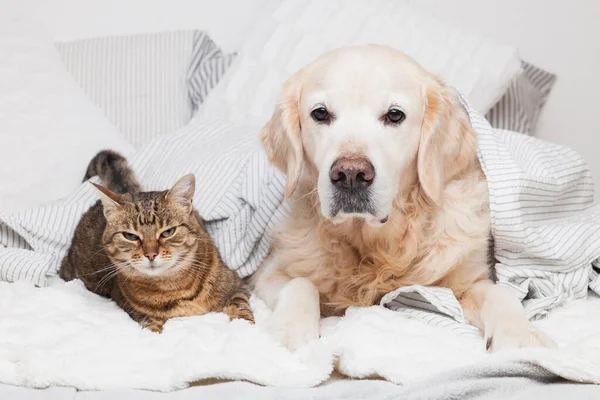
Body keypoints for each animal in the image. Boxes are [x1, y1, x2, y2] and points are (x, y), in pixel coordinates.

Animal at [61, 150, 255, 332]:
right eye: (130, 236)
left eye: (168, 232)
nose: (151, 254)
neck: (173, 287)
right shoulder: (136, 311)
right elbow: (152, 326)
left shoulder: (239, 286)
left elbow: (240, 307)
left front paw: (244, 326)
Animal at [251, 43, 556, 352]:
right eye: (321, 113)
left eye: (395, 115)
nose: (350, 174)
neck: (379, 245)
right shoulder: (269, 273)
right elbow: (301, 284)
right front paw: (290, 329)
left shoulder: (464, 282)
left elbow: (501, 295)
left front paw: (520, 336)